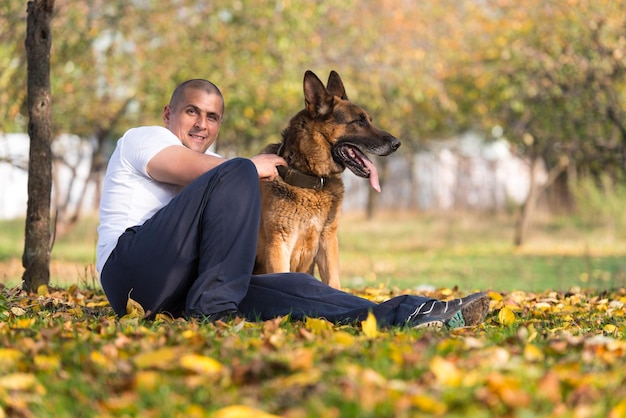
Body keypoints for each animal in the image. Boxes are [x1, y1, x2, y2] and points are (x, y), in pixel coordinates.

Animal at [254, 70, 400, 290]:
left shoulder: (328, 242)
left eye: (369, 120)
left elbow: (333, 282)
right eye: (359, 121)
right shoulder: (278, 246)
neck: (312, 179)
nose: (397, 143)